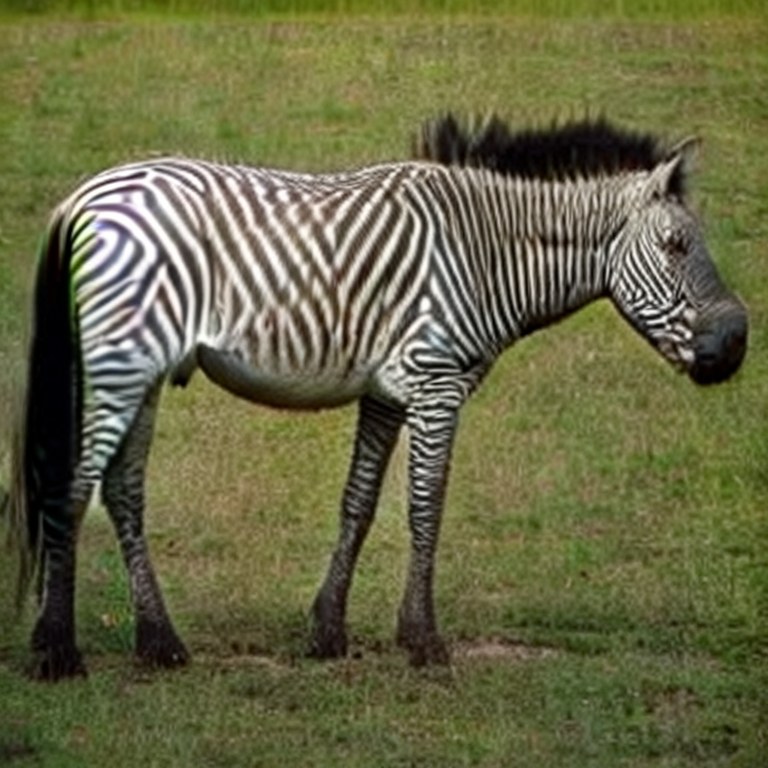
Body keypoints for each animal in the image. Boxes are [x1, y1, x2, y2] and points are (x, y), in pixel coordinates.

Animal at [9, 114, 747, 680]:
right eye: (677, 245)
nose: (736, 342)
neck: (485, 253)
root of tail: (83, 198)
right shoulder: (437, 381)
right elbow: (426, 508)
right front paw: (422, 640)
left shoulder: (389, 389)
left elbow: (358, 504)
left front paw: (326, 632)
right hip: (121, 363)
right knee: (71, 487)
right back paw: (56, 651)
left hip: (143, 371)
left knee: (122, 490)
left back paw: (159, 644)